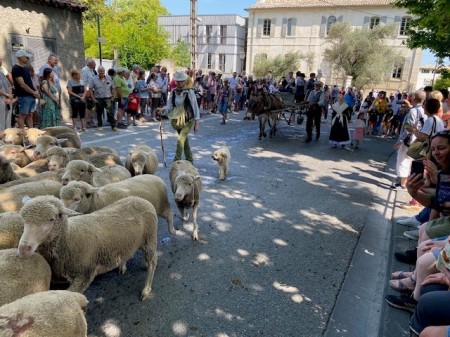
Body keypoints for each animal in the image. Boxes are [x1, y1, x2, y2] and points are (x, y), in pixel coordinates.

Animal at [19, 193, 160, 300]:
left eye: (51, 219)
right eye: (23, 220)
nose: (23, 249)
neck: (69, 236)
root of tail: (141, 199)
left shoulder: (85, 274)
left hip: (149, 239)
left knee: (153, 262)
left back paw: (146, 290)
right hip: (128, 242)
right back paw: (122, 265)